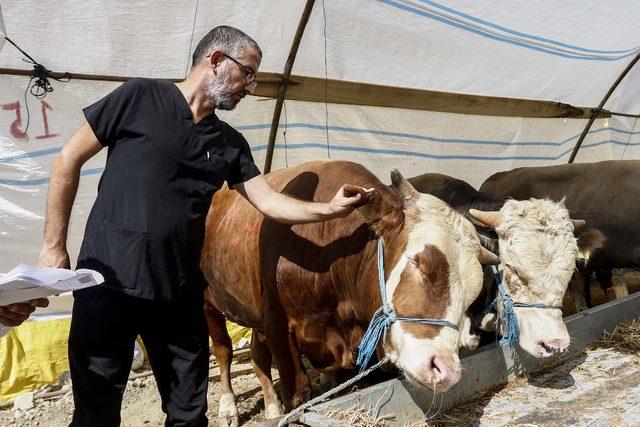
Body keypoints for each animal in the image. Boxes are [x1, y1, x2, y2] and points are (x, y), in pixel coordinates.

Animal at [200, 161, 500, 427]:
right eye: (419, 263)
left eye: (474, 293)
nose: (446, 371)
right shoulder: (278, 326)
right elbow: (298, 394)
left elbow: (340, 392)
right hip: (207, 301)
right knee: (223, 350)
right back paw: (228, 407)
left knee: (257, 353)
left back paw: (271, 407)